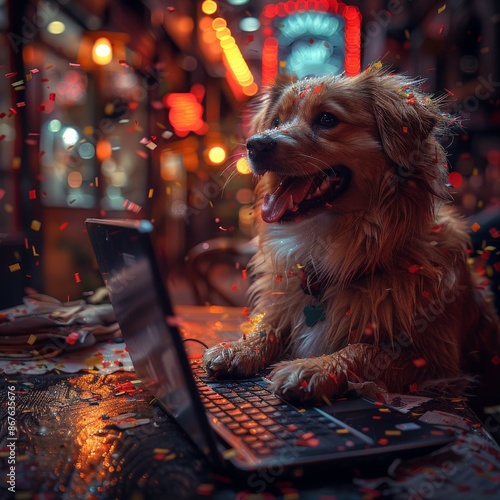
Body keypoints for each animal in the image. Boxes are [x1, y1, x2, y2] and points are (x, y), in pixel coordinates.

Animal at [201, 64, 498, 404]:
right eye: (275, 121)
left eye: (327, 119)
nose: (255, 144)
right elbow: (268, 327)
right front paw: (239, 348)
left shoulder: (436, 360)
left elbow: (365, 350)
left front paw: (314, 369)